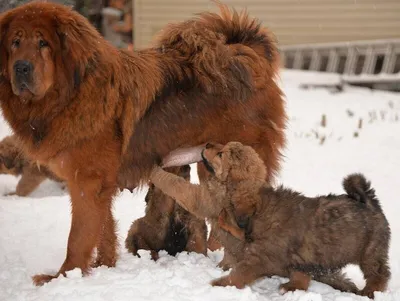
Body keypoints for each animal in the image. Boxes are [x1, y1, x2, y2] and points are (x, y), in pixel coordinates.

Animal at [0, 2, 288, 284]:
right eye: (15, 43)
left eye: (43, 43)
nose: (21, 67)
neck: (72, 93)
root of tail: (245, 53)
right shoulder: (100, 185)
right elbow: (103, 230)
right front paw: (104, 267)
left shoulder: (87, 183)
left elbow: (78, 237)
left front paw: (62, 277)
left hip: (226, 168)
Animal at [151, 142, 390, 298]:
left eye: (221, 154)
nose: (208, 142)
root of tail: (369, 202)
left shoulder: (260, 256)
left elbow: (177, 186)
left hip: (371, 253)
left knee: (379, 275)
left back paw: (369, 292)